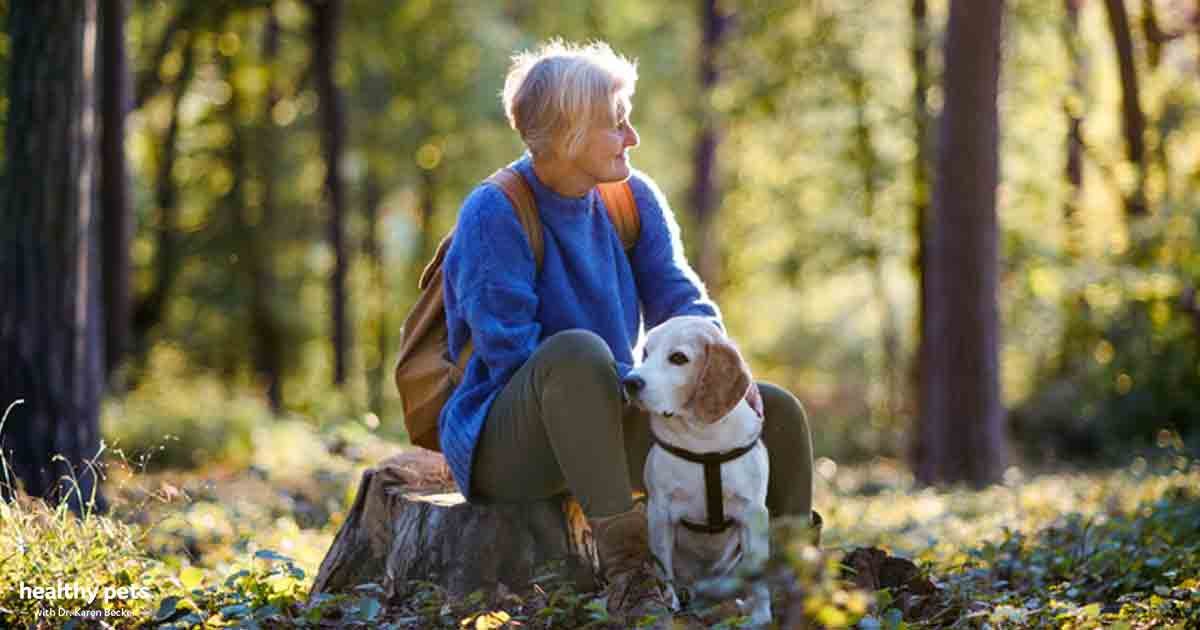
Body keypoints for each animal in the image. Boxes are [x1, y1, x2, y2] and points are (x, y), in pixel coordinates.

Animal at [624, 314, 772, 624]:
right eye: (646, 353)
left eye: (678, 358)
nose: (629, 382)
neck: (704, 440)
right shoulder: (660, 512)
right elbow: (663, 567)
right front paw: (668, 604)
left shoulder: (753, 514)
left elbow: (759, 578)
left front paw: (761, 615)